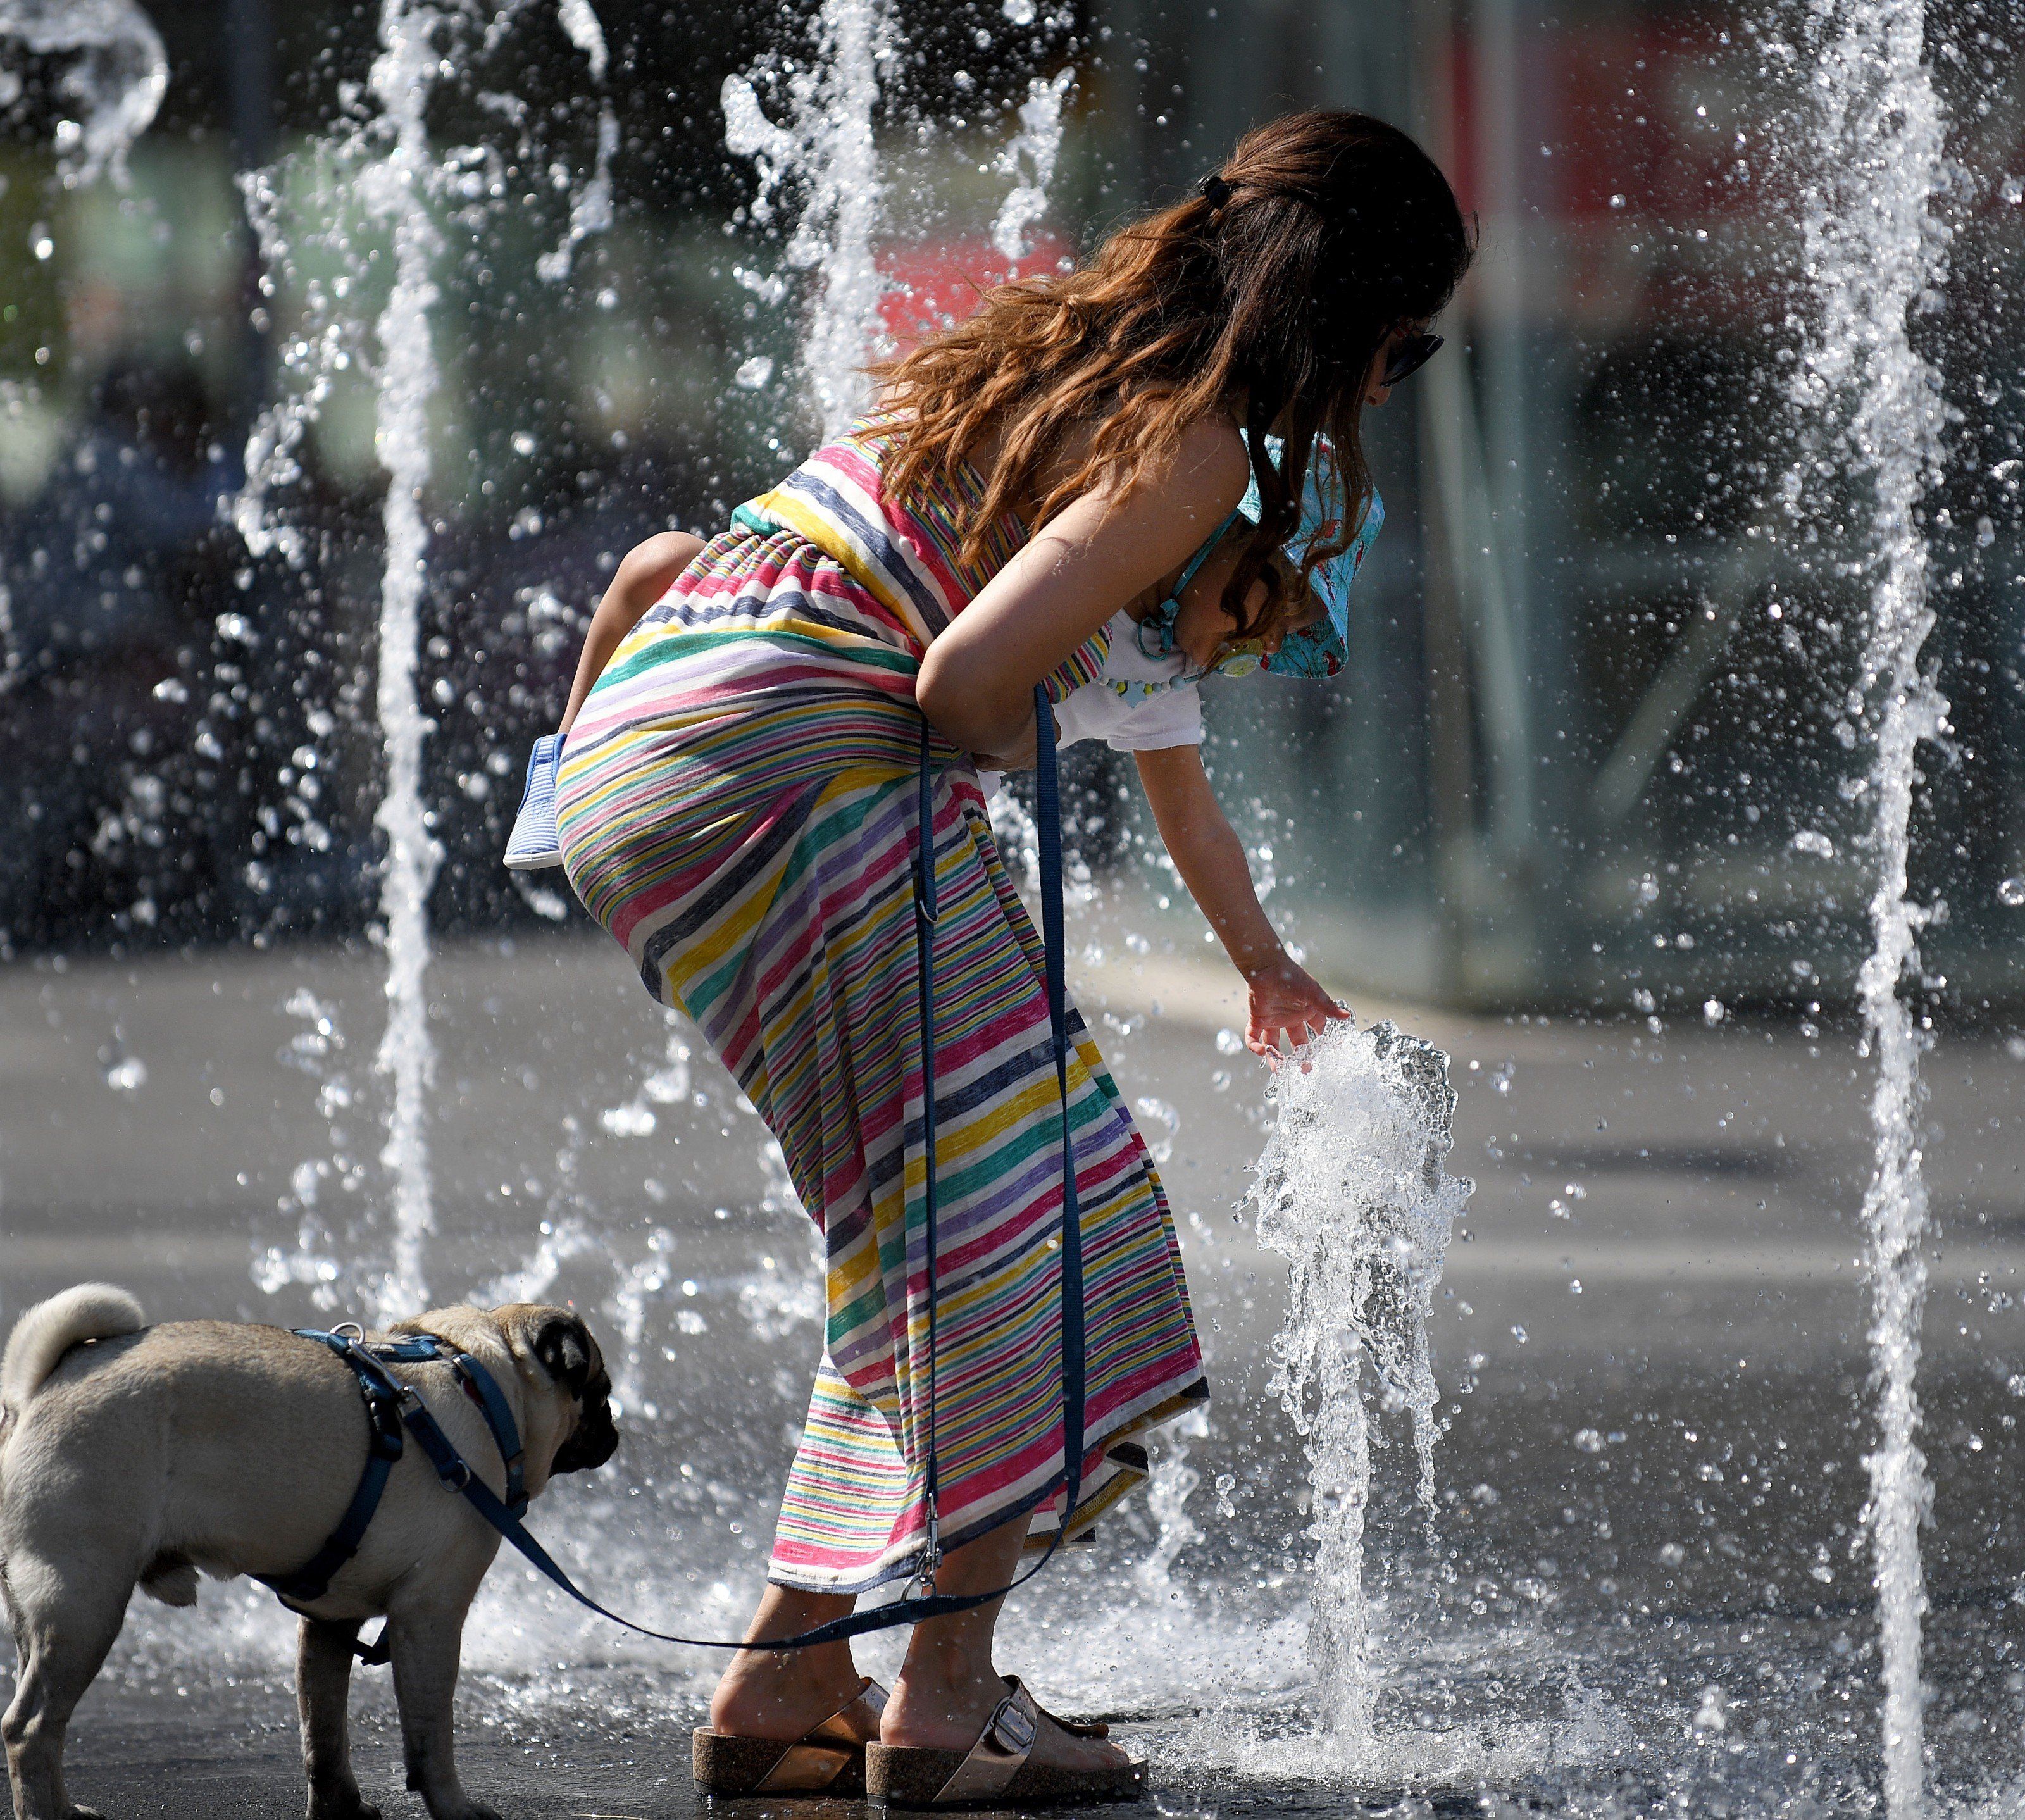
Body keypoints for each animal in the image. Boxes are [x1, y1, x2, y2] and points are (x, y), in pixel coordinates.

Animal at [0, 1279, 615, 1820]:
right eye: (601, 1391)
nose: (615, 1429)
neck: (482, 1379)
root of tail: (42, 1386)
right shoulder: (433, 1616)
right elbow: (431, 1735)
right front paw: (455, 1808)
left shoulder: (329, 1622)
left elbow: (323, 1732)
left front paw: (338, 1806)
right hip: (84, 1604)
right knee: (30, 1729)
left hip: (40, 1611)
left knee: (42, 1721)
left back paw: (66, 1808)